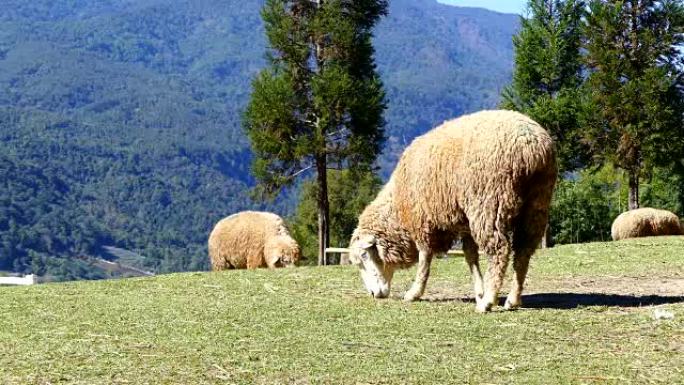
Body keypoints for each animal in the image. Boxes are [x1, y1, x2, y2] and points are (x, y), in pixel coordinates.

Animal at [348, 109, 556, 312]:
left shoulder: (422, 222)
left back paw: (488, 301)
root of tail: (531, 147)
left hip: (489, 204)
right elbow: (470, 257)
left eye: (364, 256)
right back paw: (512, 299)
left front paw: (414, 293)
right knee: (523, 251)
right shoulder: (465, 224)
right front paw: (479, 291)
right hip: (537, 203)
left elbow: (425, 258)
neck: (398, 208)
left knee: (500, 251)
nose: (374, 294)